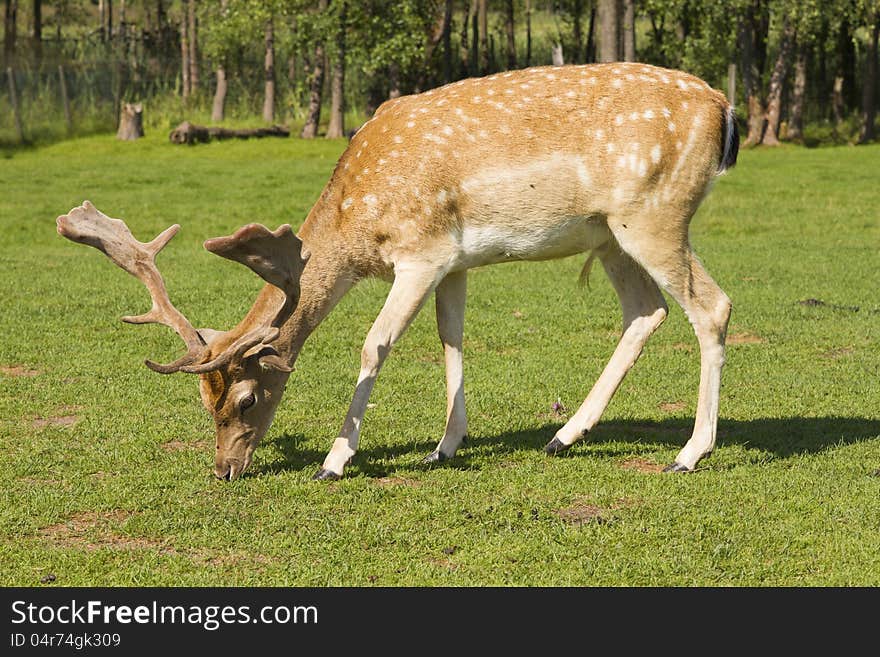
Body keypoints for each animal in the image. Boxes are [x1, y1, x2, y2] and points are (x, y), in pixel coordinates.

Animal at [58, 62, 740, 482]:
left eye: (248, 399)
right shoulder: (455, 262)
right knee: (646, 310)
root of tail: (725, 107)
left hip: (654, 216)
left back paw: (690, 452)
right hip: (609, 234)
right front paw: (446, 445)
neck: (358, 220)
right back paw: (564, 434)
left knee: (713, 305)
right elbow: (452, 338)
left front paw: (335, 459)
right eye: (206, 401)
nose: (225, 470)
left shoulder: (421, 253)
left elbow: (374, 345)